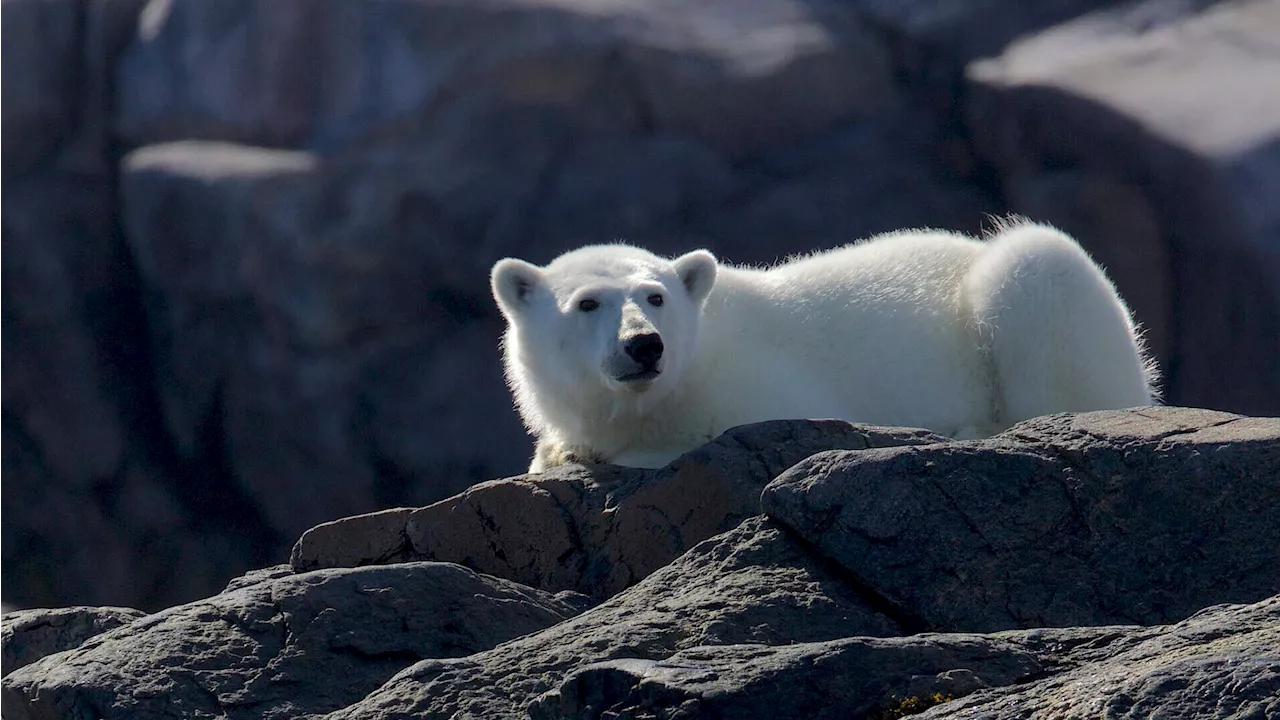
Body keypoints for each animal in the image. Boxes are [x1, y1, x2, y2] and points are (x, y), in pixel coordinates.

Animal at [488, 219, 1162, 471]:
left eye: (654, 297)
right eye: (587, 303)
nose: (644, 346)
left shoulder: (760, 388)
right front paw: (558, 452)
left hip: (1031, 294)